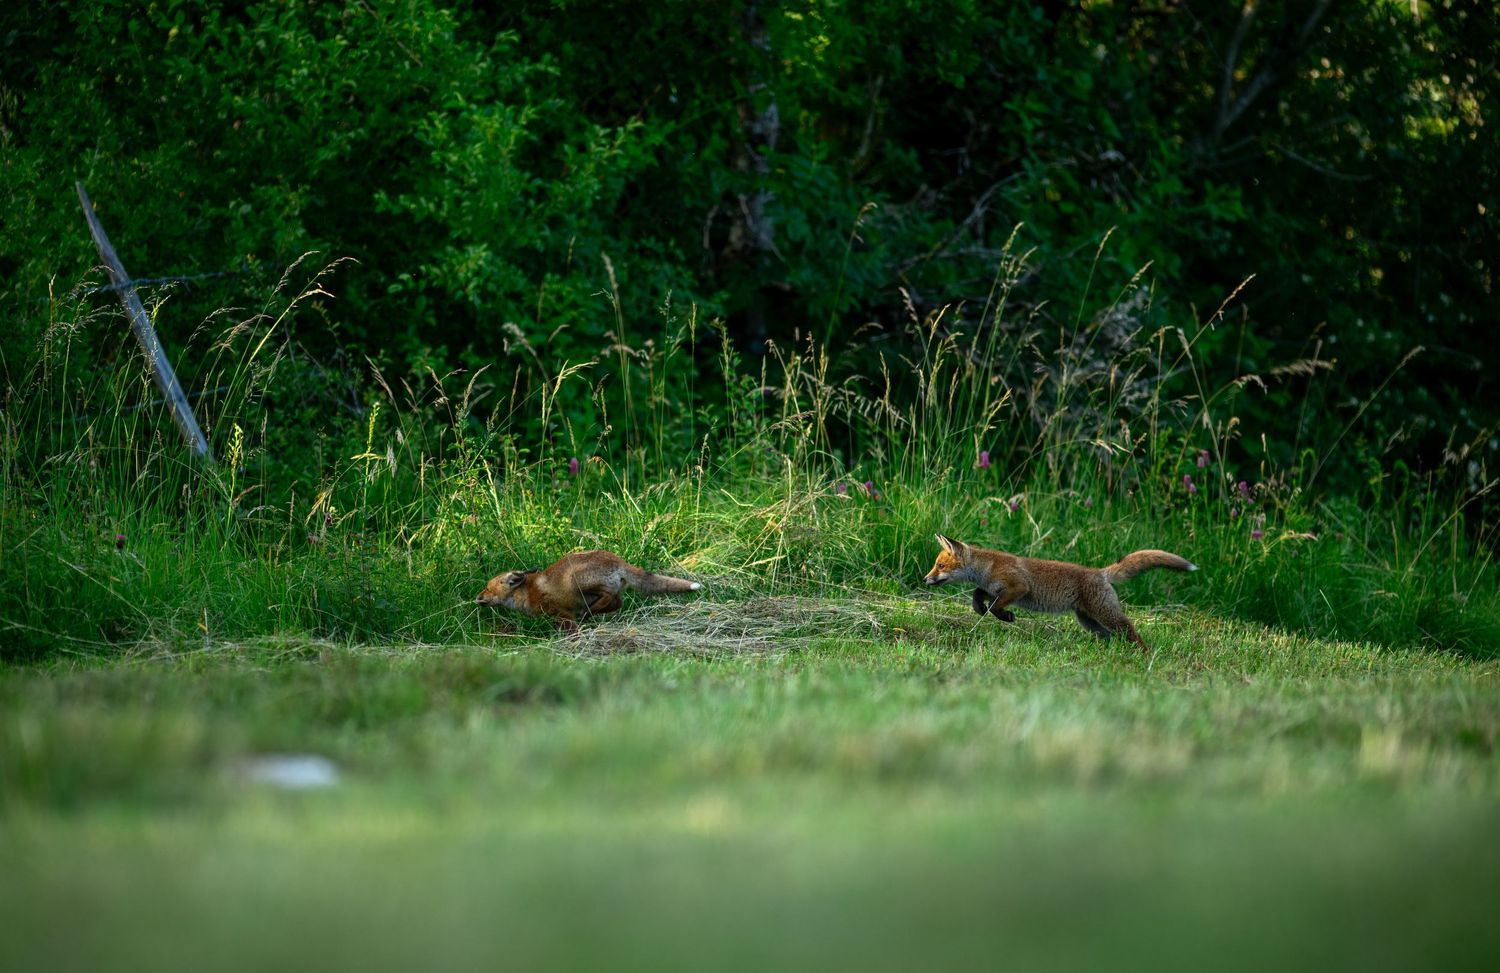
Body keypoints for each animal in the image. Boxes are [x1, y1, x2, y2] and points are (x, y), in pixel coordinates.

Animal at [475, 550, 701, 628]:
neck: (529, 593)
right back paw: (591, 612)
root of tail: (618, 560)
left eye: (487, 588)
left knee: (609, 597)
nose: (477, 598)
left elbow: (572, 632)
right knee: (618, 602)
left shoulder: (563, 614)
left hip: (577, 581)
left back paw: (588, 612)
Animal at [922, 534, 1196, 651]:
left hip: (1106, 616)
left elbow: (996, 606)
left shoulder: (1019, 587)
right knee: (1113, 637)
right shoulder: (994, 588)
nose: (925, 579)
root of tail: (1100, 573)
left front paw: (1005, 617)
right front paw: (979, 608)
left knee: (1132, 633)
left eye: (940, 566)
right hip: (1090, 622)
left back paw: (1143, 655)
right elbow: (979, 595)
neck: (986, 567)